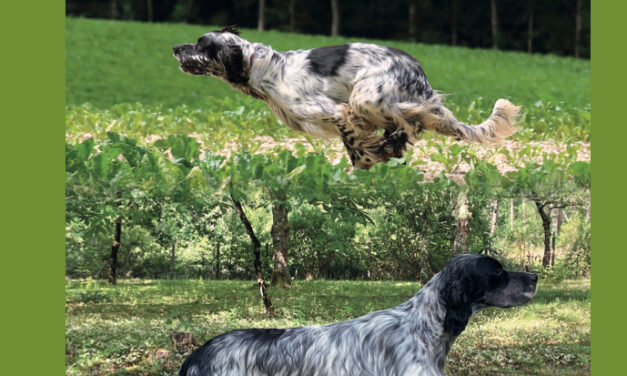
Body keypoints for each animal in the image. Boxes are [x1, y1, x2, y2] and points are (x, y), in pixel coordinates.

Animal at [174, 28, 524, 170]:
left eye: (201, 45)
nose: (176, 48)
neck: (260, 66)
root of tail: (416, 67)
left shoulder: (336, 110)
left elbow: (354, 143)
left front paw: (366, 163)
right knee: (412, 123)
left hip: (366, 97)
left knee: (413, 120)